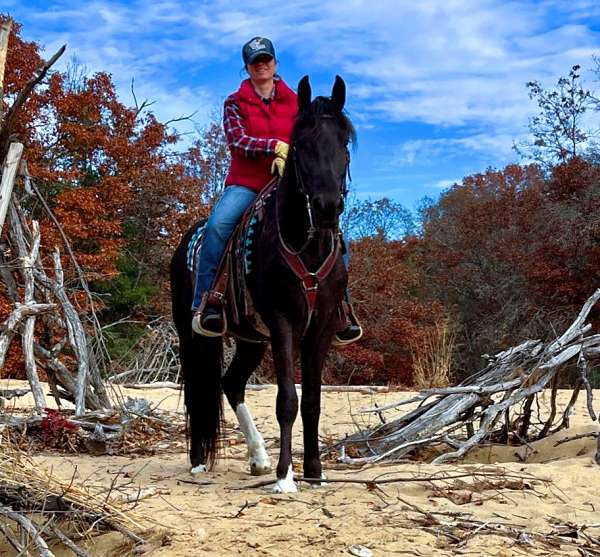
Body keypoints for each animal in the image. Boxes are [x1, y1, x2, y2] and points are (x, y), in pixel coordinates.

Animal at [169, 74, 354, 490]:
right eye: (300, 144)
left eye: (344, 142)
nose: (327, 207)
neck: (307, 244)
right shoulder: (283, 322)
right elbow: (287, 399)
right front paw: (287, 477)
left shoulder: (321, 327)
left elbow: (313, 400)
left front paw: (314, 471)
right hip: (191, 334)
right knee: (198, 388)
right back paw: (199, 460)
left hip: (251, 338)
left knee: (231, 383)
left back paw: (258, 457)